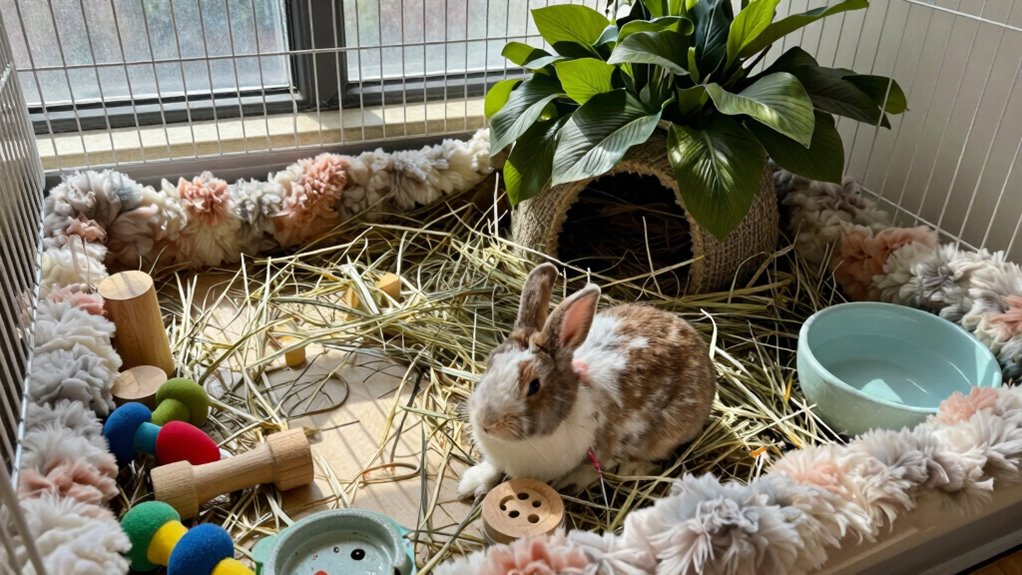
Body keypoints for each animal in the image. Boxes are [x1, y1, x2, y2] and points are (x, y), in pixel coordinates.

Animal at [456, 263, 716, 500]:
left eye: (534, 386)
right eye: (490, 363)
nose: (487, 423)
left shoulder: (609, 445)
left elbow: (596, 466)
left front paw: (571, 483)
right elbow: (493, 467)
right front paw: (470, 484)